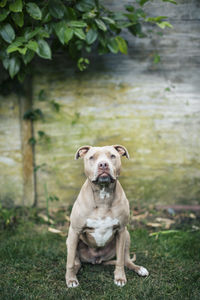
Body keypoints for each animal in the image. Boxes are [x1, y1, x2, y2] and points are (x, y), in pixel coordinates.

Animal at [65, 145, 148, 288]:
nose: (103, 164)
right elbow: (69, 262)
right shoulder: (74, 231)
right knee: (76, 262)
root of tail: (97, 260)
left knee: (126, 260)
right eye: (91, 157)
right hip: (70, 242)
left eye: (112, 156)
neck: (103, 195)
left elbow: (120, 260)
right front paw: (70, 279)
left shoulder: (121, 231)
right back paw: (74, 272)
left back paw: (139, 269)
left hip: (127, 236)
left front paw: (119, 277)